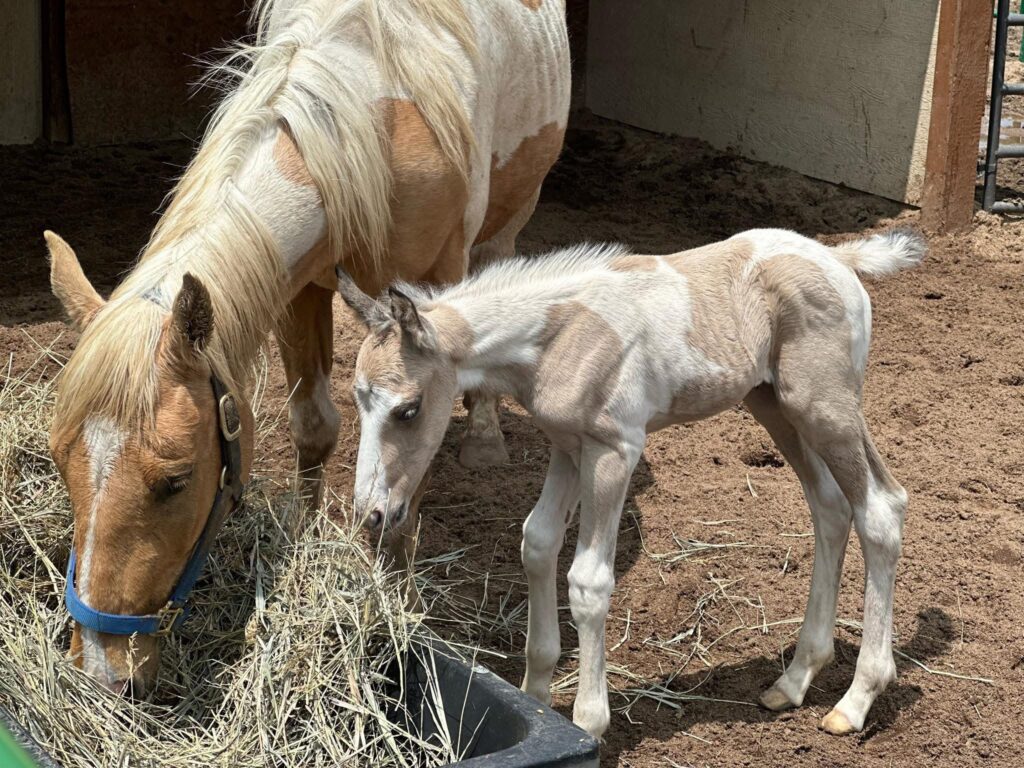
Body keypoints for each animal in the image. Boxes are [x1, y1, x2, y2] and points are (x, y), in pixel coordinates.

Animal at [46, 0, 570, 695]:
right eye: (58, 460)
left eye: (177, 481)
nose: (102, 673)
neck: (377, 121)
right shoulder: (299, 288)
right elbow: (314, 426)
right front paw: (303, 535)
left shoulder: (432, 292)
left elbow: (414, 449)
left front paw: (394, 589)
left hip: (512, 213)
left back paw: (484, 433)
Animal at [334, 227, 925, 738]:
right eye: (358, 401)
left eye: (409, 410)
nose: (373, 513)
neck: (559, 335)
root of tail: (839, 259)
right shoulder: (567, 446)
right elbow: (537, 543)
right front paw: (536, 698)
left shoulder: (614, 451)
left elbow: (588, 581)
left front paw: (588, 722)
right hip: (774, 404)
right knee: (830, 506)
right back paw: (794, 679)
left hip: (824, 408)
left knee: (881, 507)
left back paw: (855, 701)